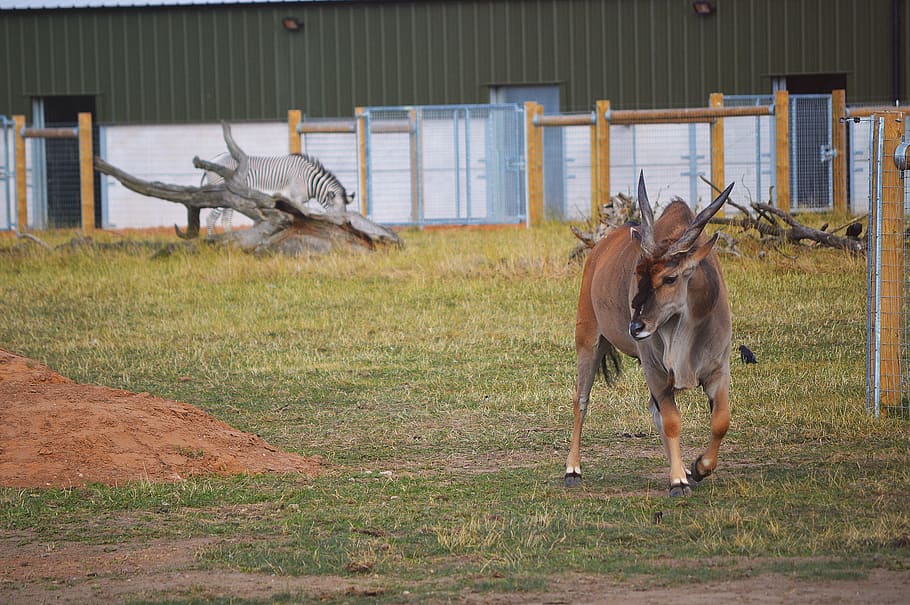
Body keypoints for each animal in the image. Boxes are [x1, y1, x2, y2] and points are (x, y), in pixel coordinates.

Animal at [202, 151, 356, 236]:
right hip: (221, 194)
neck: (308, 180)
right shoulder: (296, 199)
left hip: (229, 199)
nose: (346, 226)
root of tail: (214, 159)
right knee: (211, 219)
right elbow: (307, 214)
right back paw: (211, 242)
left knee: (225, 220)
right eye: (337, 213)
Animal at [568, 172, 736, 494]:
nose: (635, 327)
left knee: (652, 409)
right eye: (638, 273)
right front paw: (678, 481)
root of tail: (597, 250)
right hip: (588, 340)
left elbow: (721, 420)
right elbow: (671, 420)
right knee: (581, 400)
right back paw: (572, 470)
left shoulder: (718, 370)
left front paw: (698, 467)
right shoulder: (655, 370)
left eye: (670, 278)